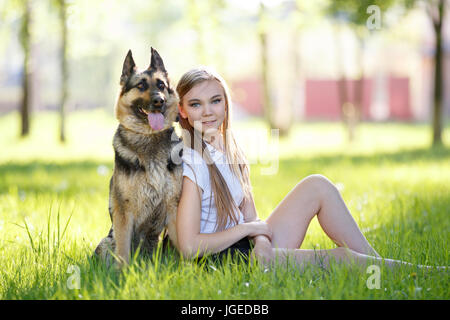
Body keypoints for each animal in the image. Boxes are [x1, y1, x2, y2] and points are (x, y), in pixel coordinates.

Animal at [95, 47, 183, 266]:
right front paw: (124, 273)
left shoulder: (173, 207)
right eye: (141, 85)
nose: (159, 100)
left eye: (161, 85)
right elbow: (123, 252)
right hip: (106, 241)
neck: (149, 137)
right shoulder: (124, 212)